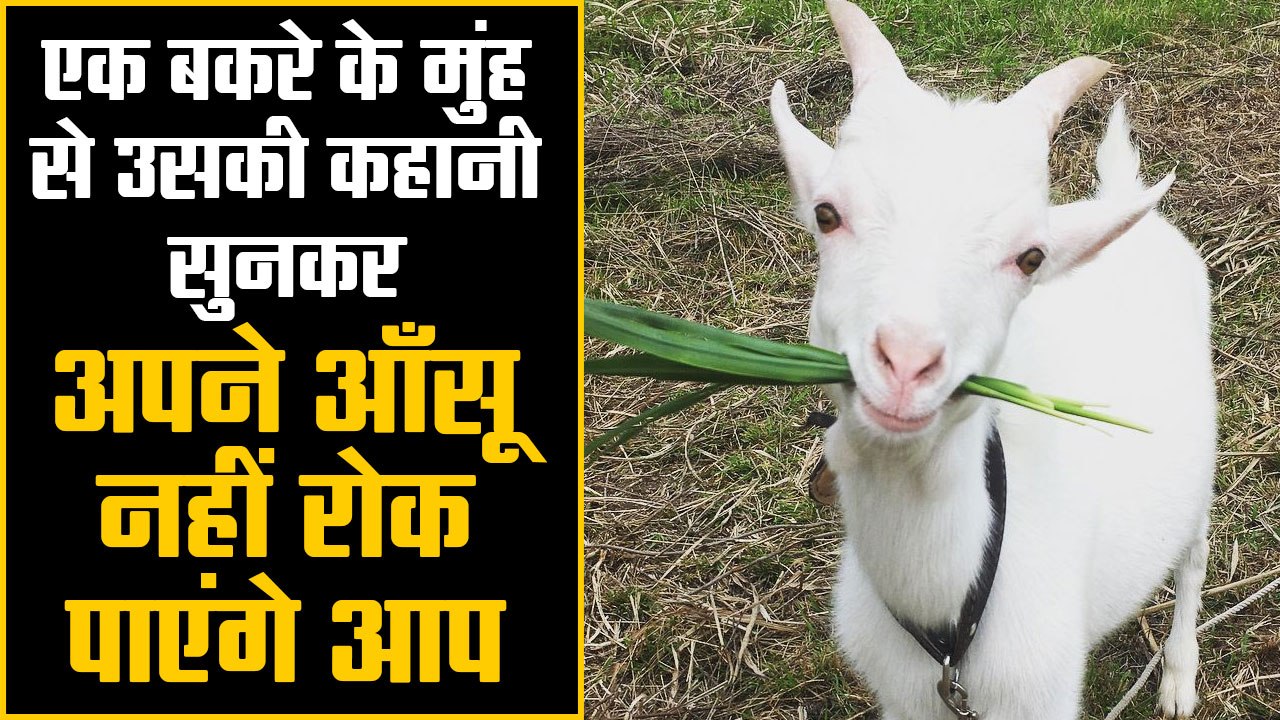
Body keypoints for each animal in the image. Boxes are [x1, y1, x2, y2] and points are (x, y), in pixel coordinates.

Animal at [769, 2, 1216, 718]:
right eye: (827, 213)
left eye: (1029, 258)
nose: (906, 364)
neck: (948, 626)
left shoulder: (1045, 692)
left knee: (1194, 551)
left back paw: (1177, 678)